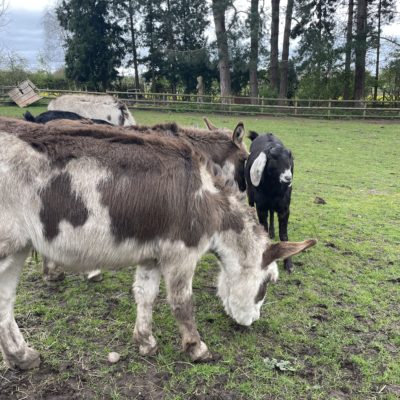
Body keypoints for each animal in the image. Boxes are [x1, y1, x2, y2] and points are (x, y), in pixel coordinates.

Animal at [244, 131, 294, 272]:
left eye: (290, 159)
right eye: (273, 158)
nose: (288, 178)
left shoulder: (284, 209)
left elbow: (284, 236)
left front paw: (288, 264)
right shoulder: (261, 208)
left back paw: (272, 232)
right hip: (250, 194)